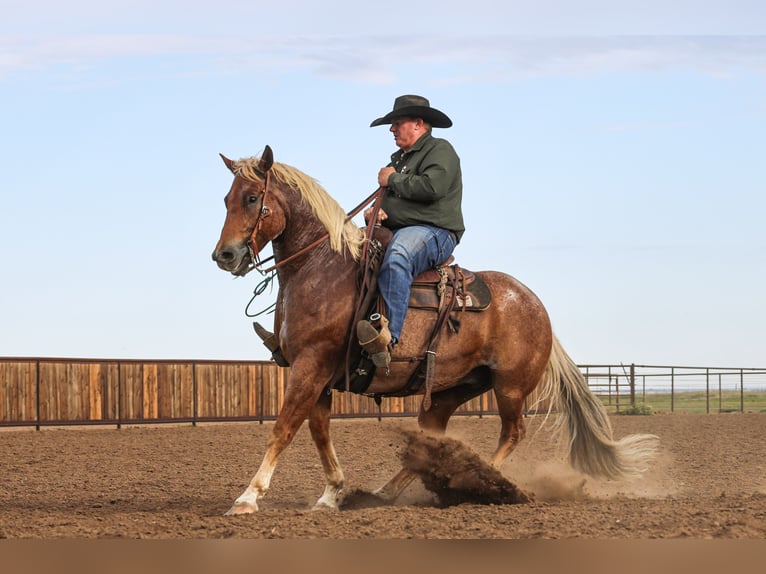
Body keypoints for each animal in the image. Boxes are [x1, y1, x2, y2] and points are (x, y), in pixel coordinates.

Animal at [211, 145, 658, 515]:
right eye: (227, 199)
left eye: (252, 198)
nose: (225, 255)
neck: (322, 267)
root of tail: (535, 306)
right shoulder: (317, 373)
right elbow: (318, 432)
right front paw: (331, 495)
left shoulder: (312, 365)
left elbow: (283, 428)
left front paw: (248, 498)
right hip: (454, 387)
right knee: (433, 434)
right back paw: (386, 492)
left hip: (510, 386)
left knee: (513, 432)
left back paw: (484, 483)